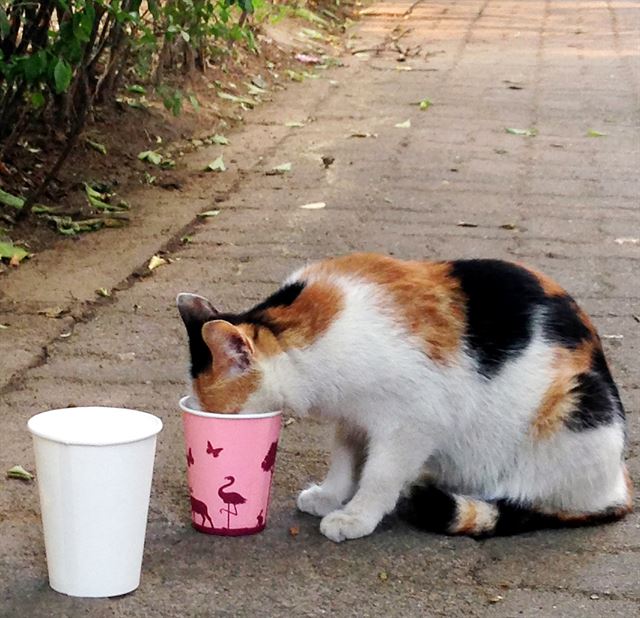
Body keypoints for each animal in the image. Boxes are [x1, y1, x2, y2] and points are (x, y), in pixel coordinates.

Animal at [175, 250, 632, 540]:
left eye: (223, 418)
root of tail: (620, 483)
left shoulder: (413, 421)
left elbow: (380, 473)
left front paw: (356, 516)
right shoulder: (353, 418)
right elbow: (345, 459)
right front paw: (331, 495)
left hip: (577, 404)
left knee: (546, 500)